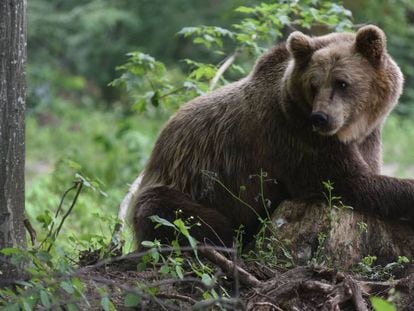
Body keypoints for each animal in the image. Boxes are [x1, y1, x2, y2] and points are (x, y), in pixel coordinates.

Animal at [131, 25, 412, 250]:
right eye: (314, 85)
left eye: (342, 83)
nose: (320, 118)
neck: (349, 130)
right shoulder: (296, 138)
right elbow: (347, 182)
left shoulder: (367, 138)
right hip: (182, 185)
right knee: (168, 213)